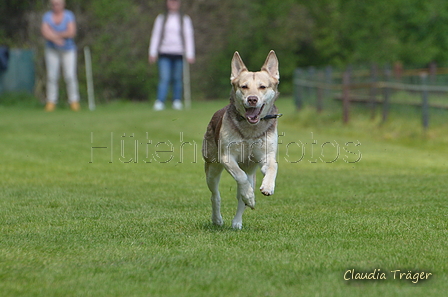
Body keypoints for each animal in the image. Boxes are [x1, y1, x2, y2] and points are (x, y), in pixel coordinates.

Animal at [202, 50, 280, 229]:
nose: (252, 99)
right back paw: (217, 219)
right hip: (212, 167)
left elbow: (273, 166)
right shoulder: (226, 157)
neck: (250, 130)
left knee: (241, 197)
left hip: (251, 171)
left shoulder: (266, 155)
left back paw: (237, 221)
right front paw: (250, 196)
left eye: (262, 87)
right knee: (215, 194)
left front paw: (267, 187)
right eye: (244, 86)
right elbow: (240, 176)